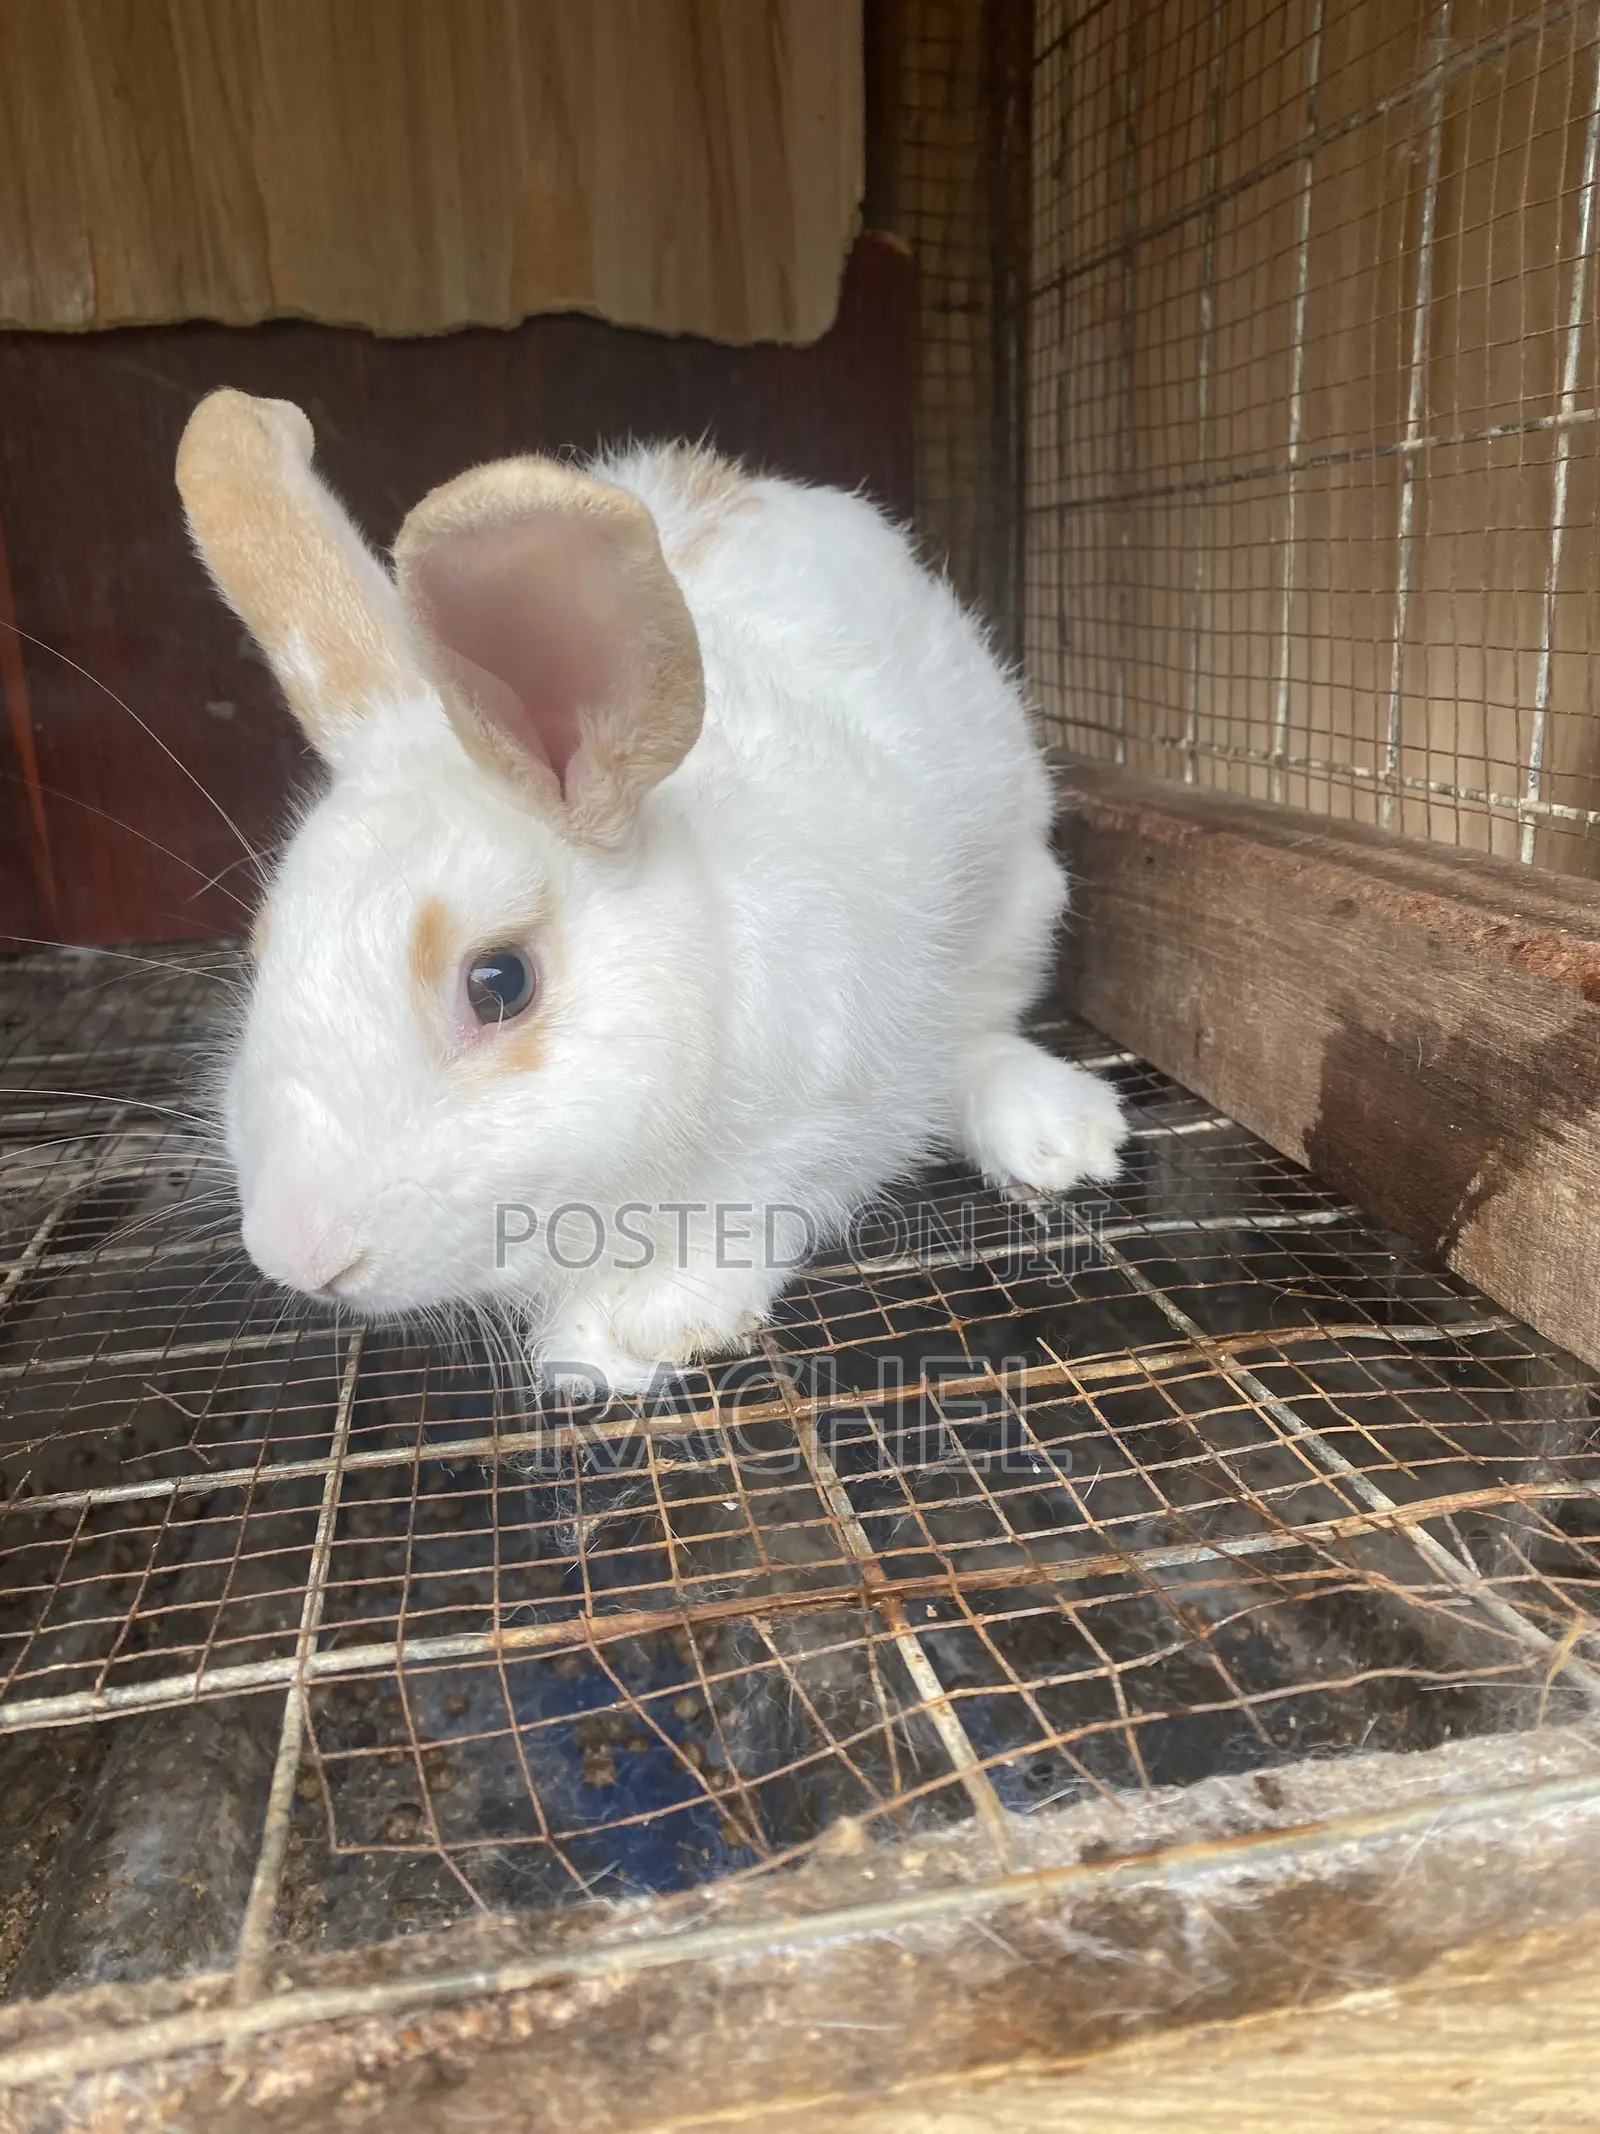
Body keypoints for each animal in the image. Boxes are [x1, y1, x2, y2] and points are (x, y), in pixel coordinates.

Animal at [176, 389, 1126, 1393]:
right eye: (263, 951)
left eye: (500, 982)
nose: (298, 1254)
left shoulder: (848, 1097)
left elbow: (773, 1197)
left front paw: (644, 1323)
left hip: (1018, 901)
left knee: (979, 1036)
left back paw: (1060, 1135)